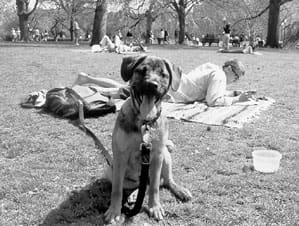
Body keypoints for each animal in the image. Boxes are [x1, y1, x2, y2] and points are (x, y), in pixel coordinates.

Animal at [105, 55, 192, 222]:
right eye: (141, 70)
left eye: (163, 74)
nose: (152, 85)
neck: (144, 122)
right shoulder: (120, 157)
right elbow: (117, 190)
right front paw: (114, 211)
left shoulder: (157, 156)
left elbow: (154, 187)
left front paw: (154, 207)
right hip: (109, 170)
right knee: (138, 186)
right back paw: (133, 195)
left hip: (166, 156)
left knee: (164, 181)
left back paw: (180, 190)